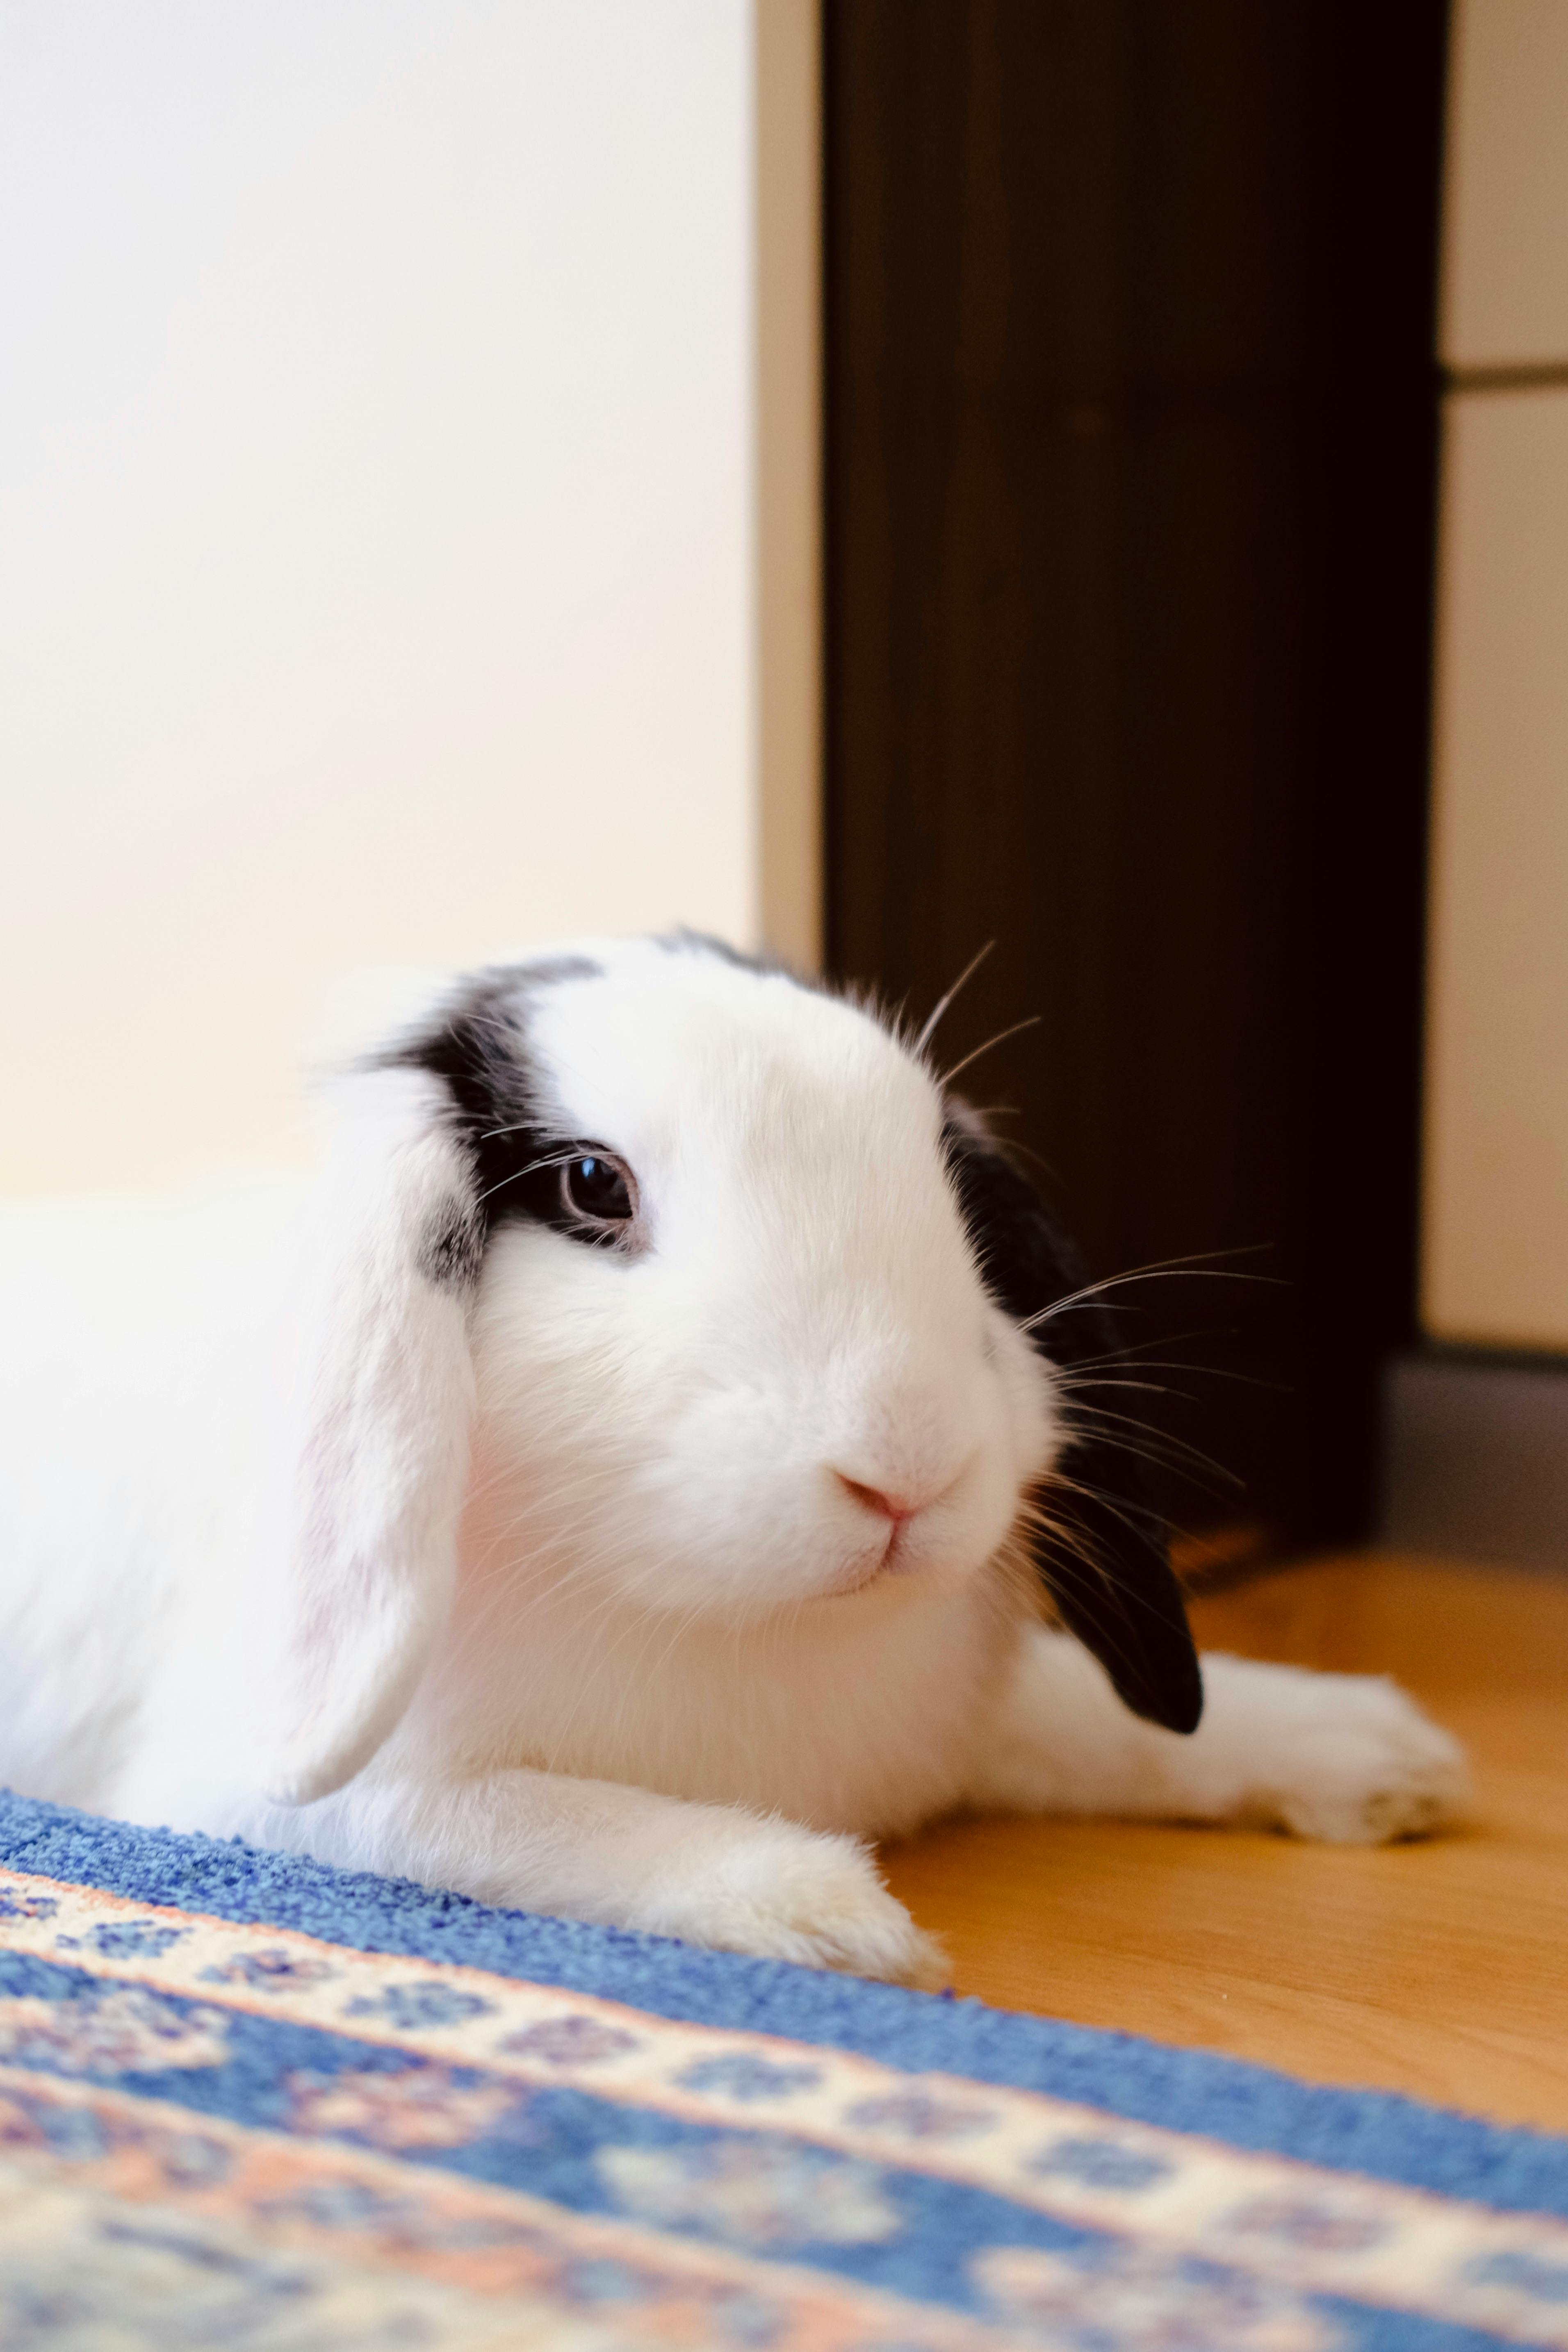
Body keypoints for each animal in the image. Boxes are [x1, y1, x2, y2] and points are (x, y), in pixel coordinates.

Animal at [0, 933, 1467, 1986]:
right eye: (594, 1185)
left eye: (951, 1185)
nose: (906, 1468)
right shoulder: (284, 1805)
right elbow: (520, 1829)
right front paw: (828, 1919)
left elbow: (1089, 1724)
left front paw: (1376, 1757)